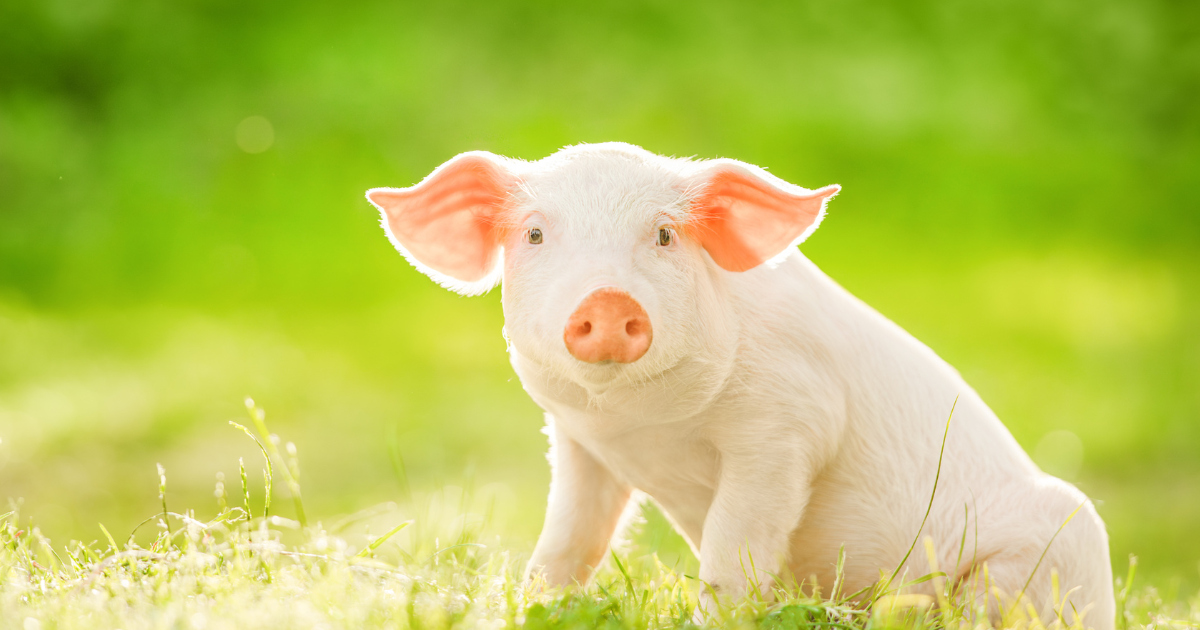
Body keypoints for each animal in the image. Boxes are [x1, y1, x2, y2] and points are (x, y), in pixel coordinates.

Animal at [362, 143, 1113, 628]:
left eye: (665, 235)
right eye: (536, 234)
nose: (607, 301)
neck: (641, 425)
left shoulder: (787, 428)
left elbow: (736, 543)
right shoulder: (578, 443)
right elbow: (571, 537)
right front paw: (537, 606)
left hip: (1056, 548)